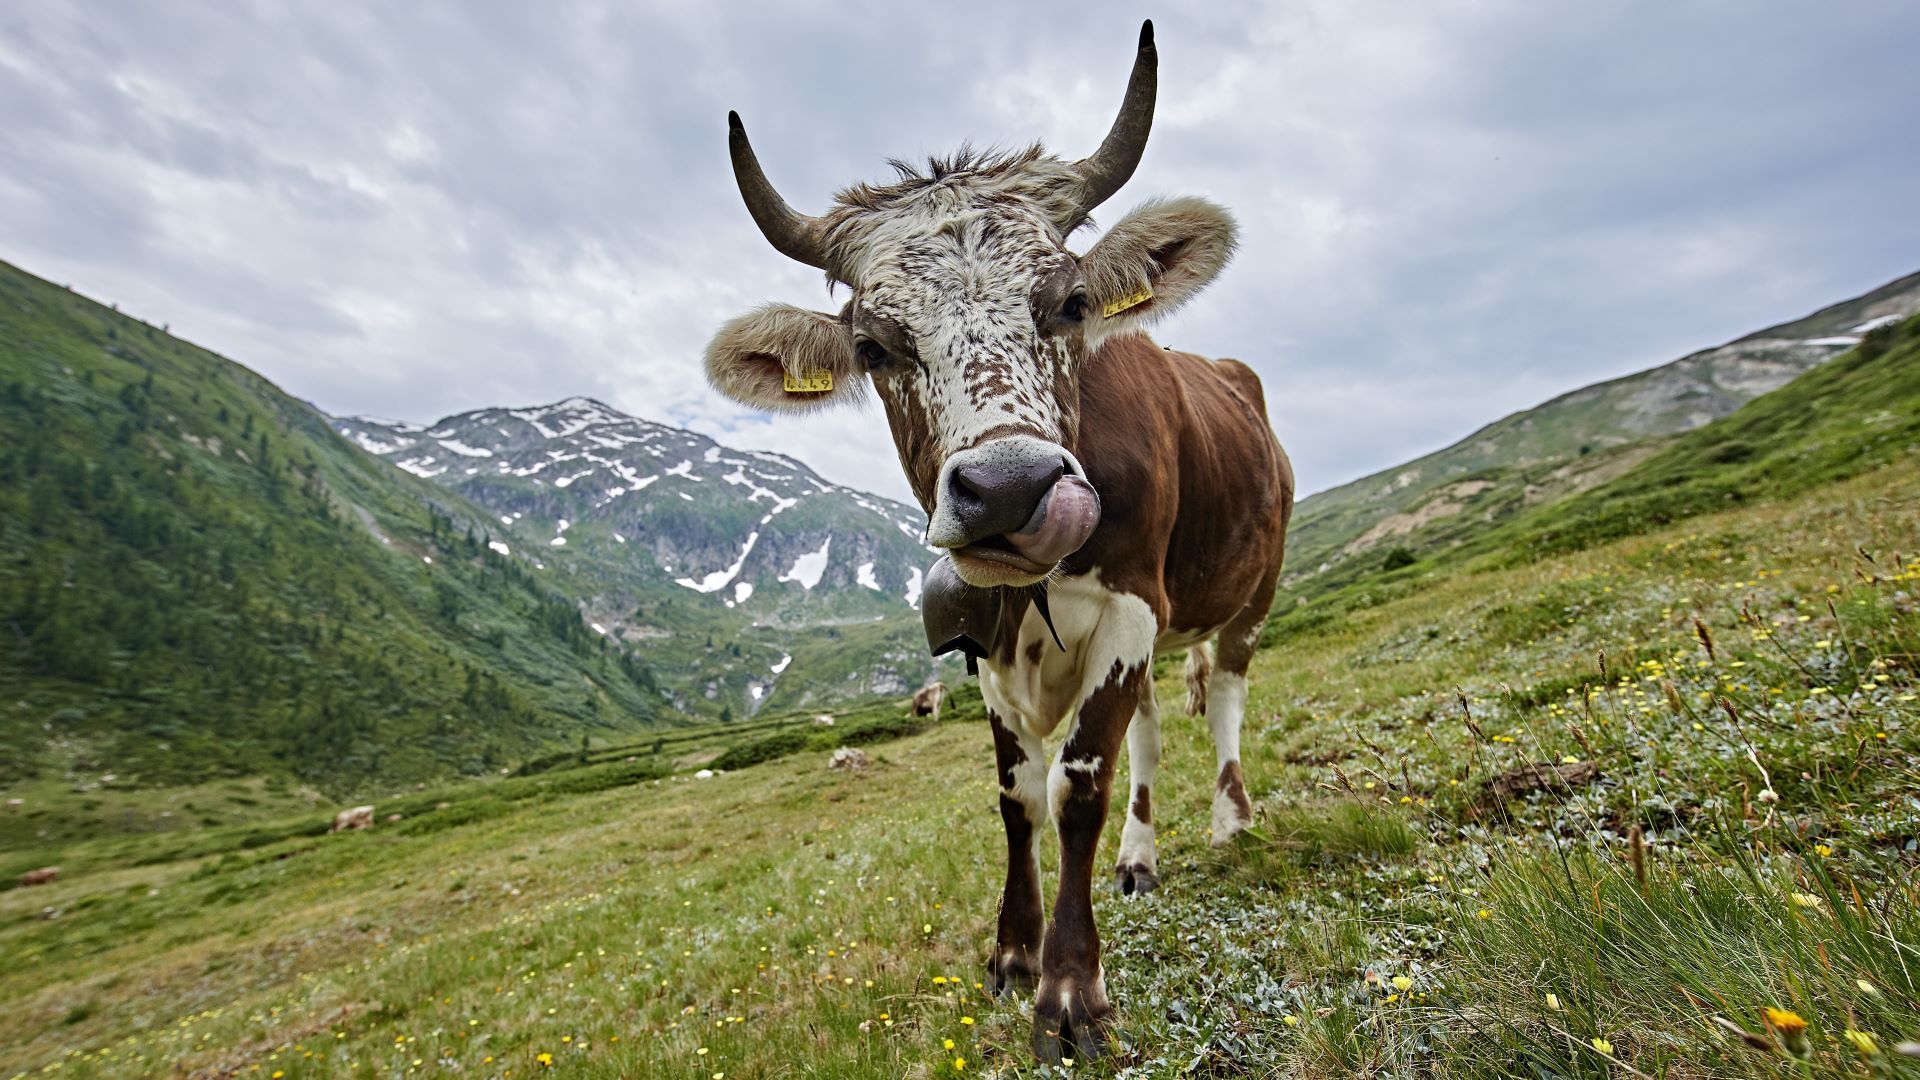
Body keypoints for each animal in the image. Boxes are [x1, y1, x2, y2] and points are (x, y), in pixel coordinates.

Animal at [703, 22, 1292, 1061]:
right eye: (875, 347)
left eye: (1070, 302)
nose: (1011, 491)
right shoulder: (982, 639)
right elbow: (1019, 794)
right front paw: (1015, 954)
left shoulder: (1132, 603)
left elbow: (1077, 785)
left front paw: (1071, 989)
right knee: (1149, 730)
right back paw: (1140, 859)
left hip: (1246, 596)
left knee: (1222, 698)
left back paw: (1230, 820)